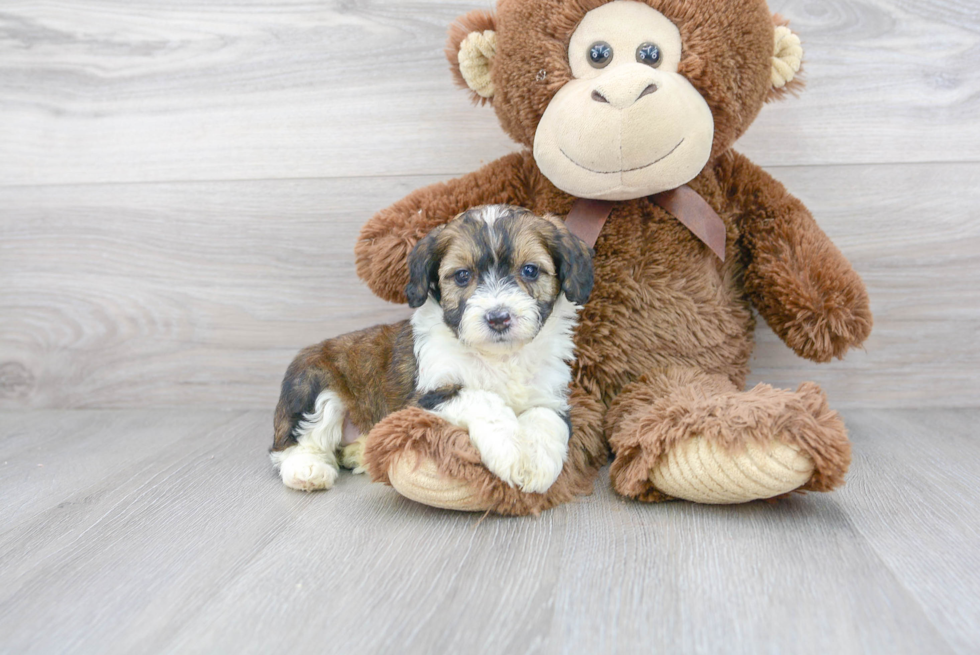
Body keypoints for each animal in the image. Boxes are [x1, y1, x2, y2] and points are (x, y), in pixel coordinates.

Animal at [268, 205, 592, 498]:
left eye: (530, 270)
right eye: (462, 276)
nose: (498, 318)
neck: (498, 356)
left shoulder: (549, 392)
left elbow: (545, 418)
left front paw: (535, 463)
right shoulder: (425, 396)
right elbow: (483, 400)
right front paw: (512, 452)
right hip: (314, 384)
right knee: (292, 443)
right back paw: (307, 469)